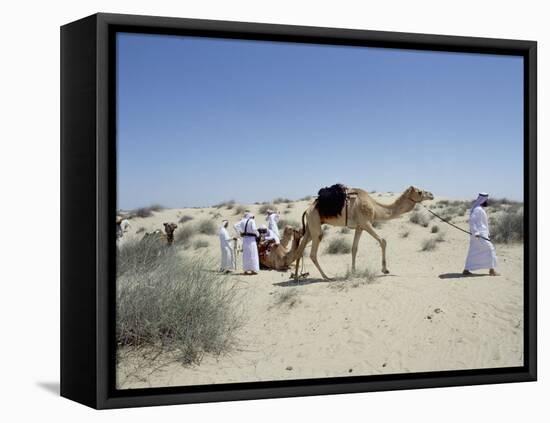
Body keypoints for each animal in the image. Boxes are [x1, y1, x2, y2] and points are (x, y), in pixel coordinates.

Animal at [296, 184, 434, 280]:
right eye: (420, 192)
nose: (431, 194)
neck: (376, 208)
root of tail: (307, 209)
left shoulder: (359, 227)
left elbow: (354, 248)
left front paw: (353, 271)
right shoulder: (366, 223)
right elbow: (383, 241)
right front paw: (385, 270)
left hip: (310, 226)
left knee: (300, 249)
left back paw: (297, 276)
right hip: (315, 223)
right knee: (313, 253)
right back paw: (326, 276)